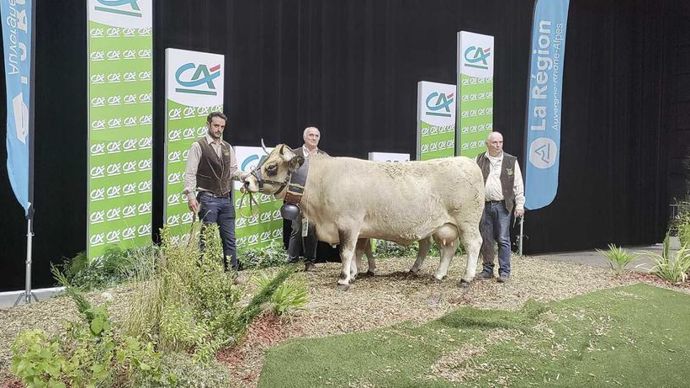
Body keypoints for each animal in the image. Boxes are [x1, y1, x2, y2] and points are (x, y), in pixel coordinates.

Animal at [242, 144, 484, 290]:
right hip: (444, 227)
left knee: (473, 244)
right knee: (448, 249)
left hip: (467, 222)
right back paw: (439, 274)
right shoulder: (356, 228)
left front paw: (343, 279)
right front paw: (353, 274)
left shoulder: (348, 224)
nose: (246, 180)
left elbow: (346, 252)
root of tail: (466, 162)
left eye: (272, 166)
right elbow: (357, 252)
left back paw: (466, 277)